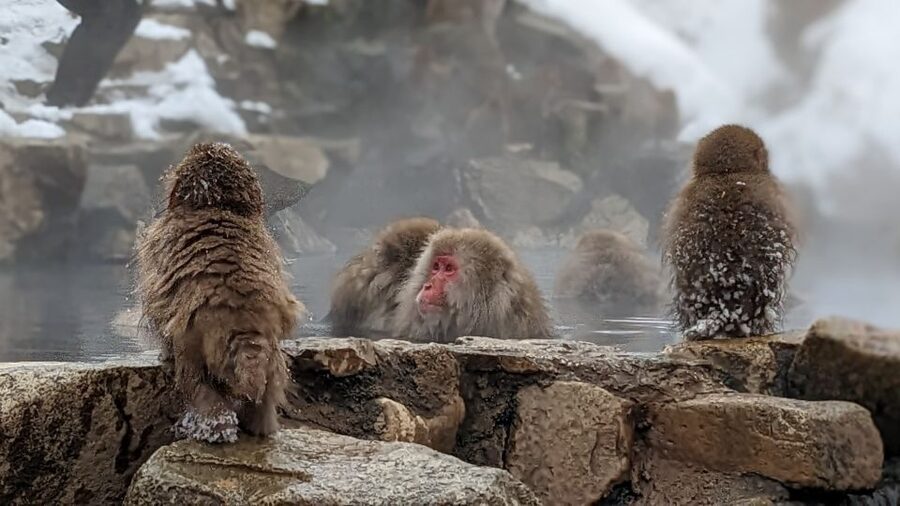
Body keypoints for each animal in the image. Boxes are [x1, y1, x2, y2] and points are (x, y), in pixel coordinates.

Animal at [136, 142, 303, 443]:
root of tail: (244, 324)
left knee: (197, 383)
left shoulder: (155, 247)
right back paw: (261, 425)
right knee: (268, 389)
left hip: (196, 345)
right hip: (272, 356)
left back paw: (214, 426)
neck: (217, 205)